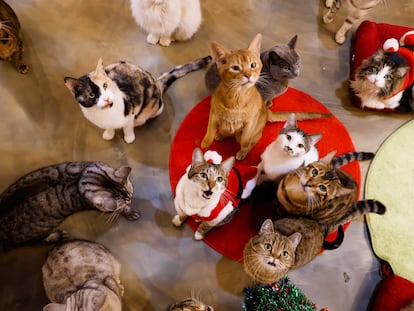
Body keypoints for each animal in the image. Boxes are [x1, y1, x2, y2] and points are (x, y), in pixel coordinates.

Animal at [0, 162, 139, 252]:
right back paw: (57, 236)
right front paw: (128, 211)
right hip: (38, 230)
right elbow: (118, 209)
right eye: (127, 201)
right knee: (35, 241)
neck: (81, 177)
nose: (130, 200)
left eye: (131, 195)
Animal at [66, 55, 212, 144]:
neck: (105, 113)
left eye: (105, 85)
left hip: (154, 107)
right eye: (91, 95)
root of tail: (157, 83)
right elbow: (109, 128)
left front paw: (129, 137)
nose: (107, 99)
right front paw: (109, 134)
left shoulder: (131, 108)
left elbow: (127, 127)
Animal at [201, 33, 330, 161]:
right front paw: (206, 142)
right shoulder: (214, 113)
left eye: (253, 65)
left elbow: (245, 139)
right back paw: (221, 135)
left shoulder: (250, 122)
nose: (296, 73)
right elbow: (211, 128)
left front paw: (243, 148)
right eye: (235, 68)